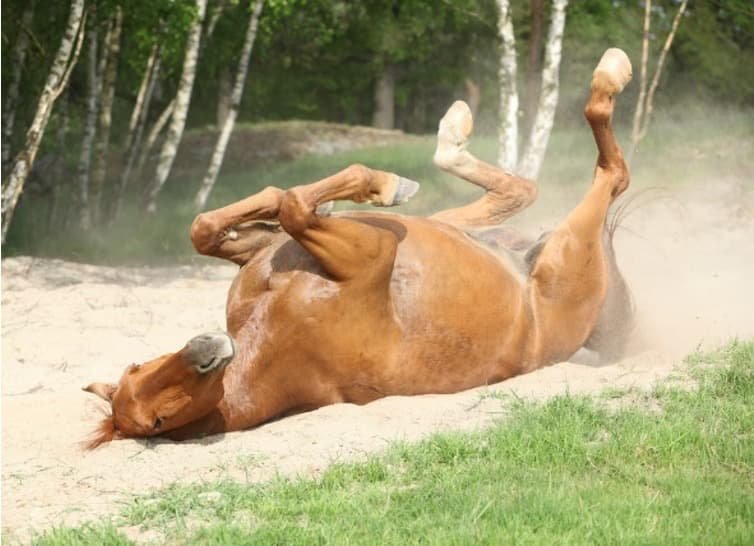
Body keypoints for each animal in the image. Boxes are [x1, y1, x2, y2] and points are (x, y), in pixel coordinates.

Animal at [84, 49, 635, 448]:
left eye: (136, 367)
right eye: (157, 420)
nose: (205, 348)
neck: (273, 336)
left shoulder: (274, 249)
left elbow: (223, 221)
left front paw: (364, 190)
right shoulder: (371, 254)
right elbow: (294, 206)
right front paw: (381, 184)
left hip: (447, 226)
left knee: (519, 190)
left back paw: (452, 134)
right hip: (566, 251)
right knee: (611, 174)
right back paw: (610, 73)